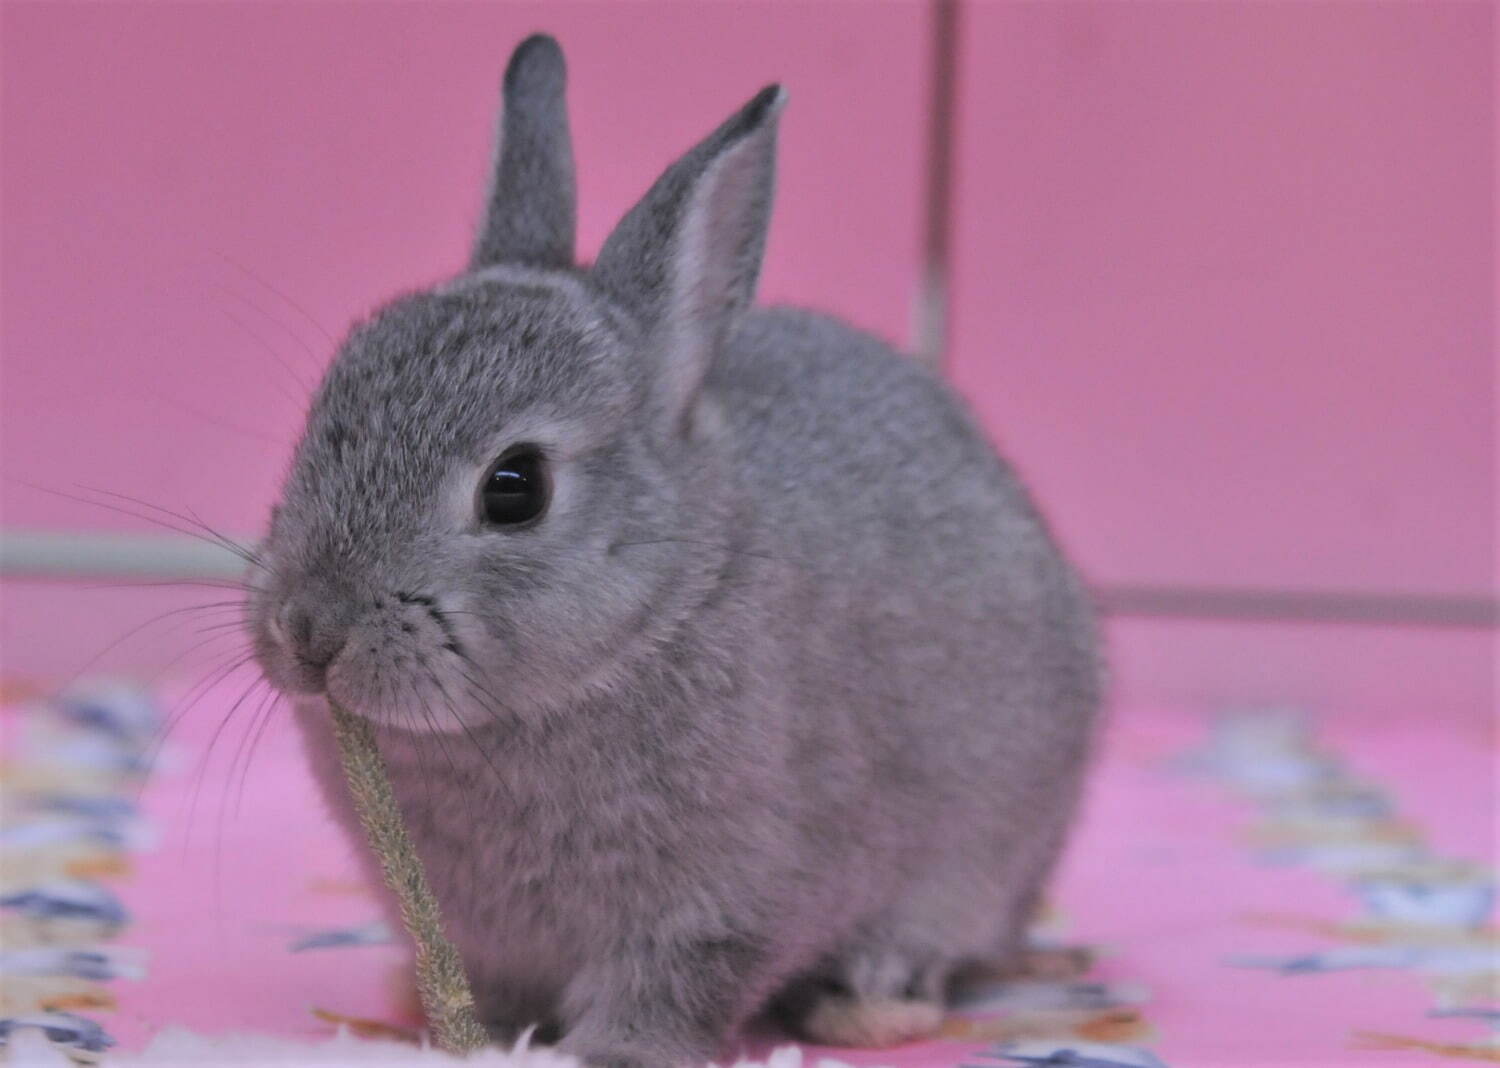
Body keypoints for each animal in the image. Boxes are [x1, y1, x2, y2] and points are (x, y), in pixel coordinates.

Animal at [252, 29, 1104, 1068]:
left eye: (515, 487)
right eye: (319, 420)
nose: (308, 630)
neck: (658, 610)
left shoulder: (723, 903)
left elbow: (677, 984)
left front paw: (610, 1054)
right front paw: (487, 1036)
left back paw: (871, 997)